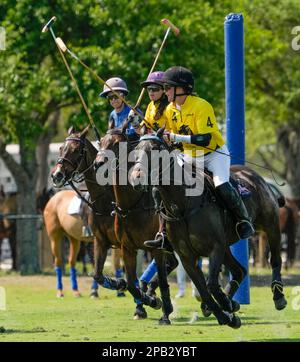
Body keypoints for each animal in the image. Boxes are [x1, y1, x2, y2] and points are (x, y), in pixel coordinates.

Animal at [129, 129, 288, 328]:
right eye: (136, 150)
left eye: (155, 149)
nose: (136, 178)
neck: (184, 205)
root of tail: (255, 176)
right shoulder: (187, 256)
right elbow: (204, 289)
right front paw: (226, 314)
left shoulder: (215, 248)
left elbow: (211, 284)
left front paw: (226, 308)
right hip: (227, 245)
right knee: (239, 270)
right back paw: (228, 303)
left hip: (271, 225)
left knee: (275, 260)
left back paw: (278, 296)